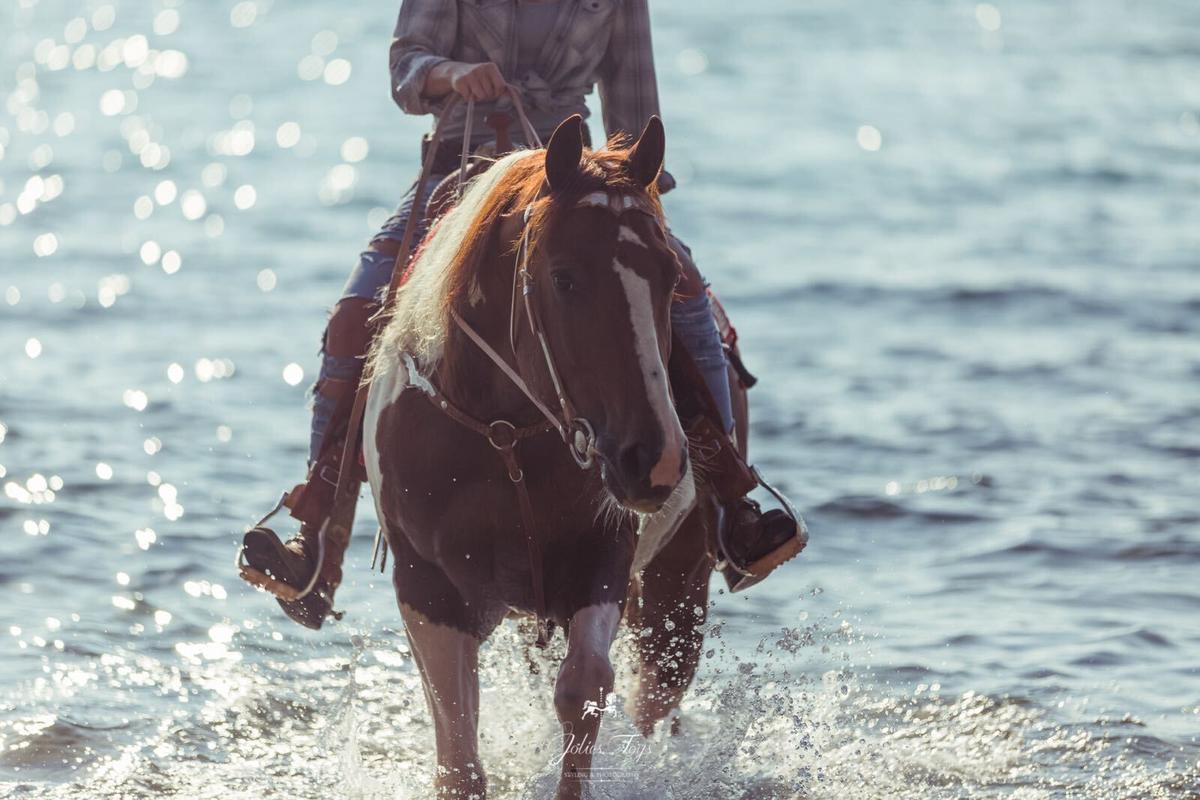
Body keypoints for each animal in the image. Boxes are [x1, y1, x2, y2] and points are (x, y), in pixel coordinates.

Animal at [362, 115, 748, 799]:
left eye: (670, 278)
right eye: (565, 277)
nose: (655, 460)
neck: (503, 436)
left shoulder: (604, 558)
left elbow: (584, 690)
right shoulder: (425, 587)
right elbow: (458, 753)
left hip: (677, 587)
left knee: (652, 699)